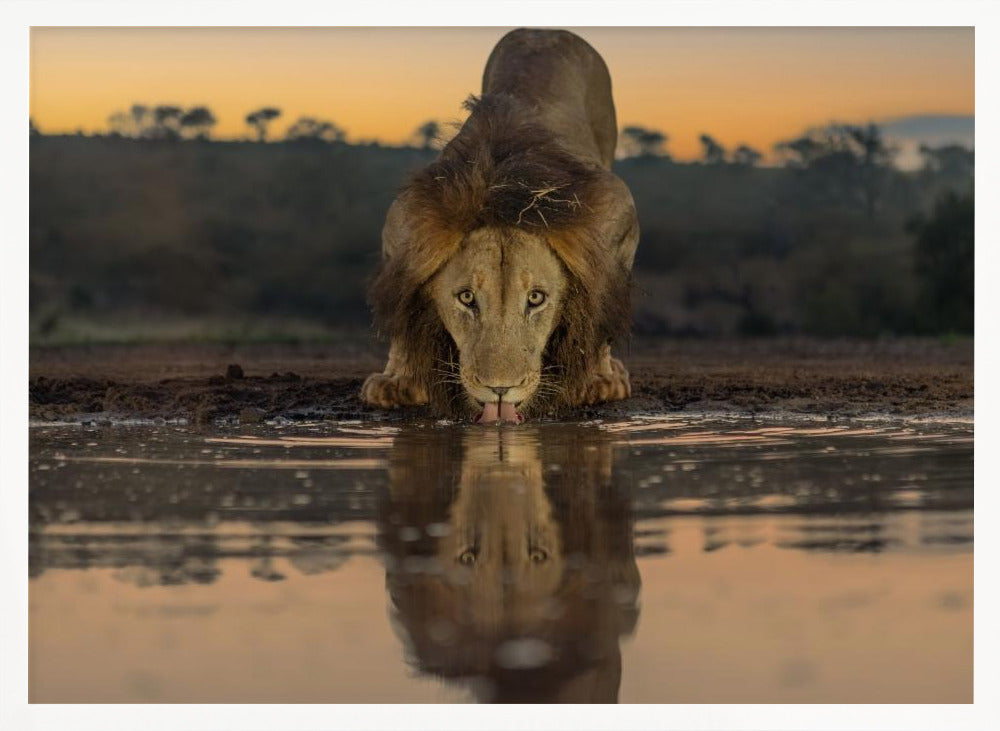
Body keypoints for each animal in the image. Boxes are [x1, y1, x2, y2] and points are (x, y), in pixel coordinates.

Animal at [362, 28, 640, 423]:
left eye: (536, 299)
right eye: (466, 298)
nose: (499, 390)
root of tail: (544, 31)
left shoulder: (617, 219)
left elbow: (603, 308)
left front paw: (597, 381)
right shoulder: (402, 231)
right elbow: (401, 311)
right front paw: (397, 382)